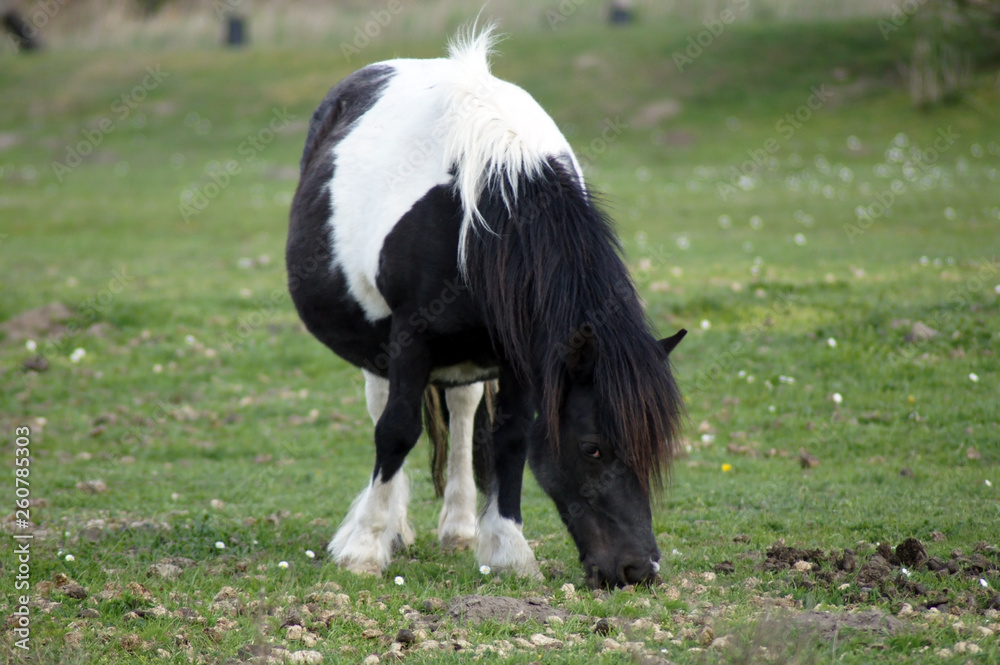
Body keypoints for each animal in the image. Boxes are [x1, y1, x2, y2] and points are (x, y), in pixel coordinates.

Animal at [286, 25, 686, 588]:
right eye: (592, 447)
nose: (638, 569)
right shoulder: (410, 335)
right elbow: (396, 431)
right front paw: (363, 547)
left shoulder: (520, 352)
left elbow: (511, 439)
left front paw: (506, 549)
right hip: (381, 343)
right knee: (384, 407)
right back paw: (393, 527)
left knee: (462, 410)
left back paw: (458, 527)